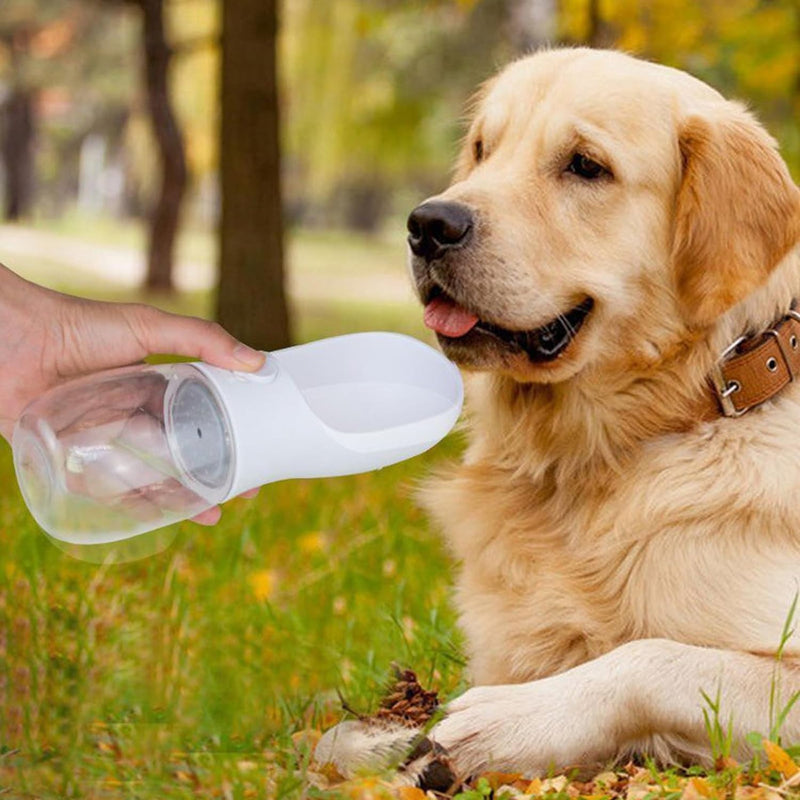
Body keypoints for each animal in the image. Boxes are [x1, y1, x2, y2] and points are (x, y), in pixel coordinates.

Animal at [318, 47, 800, 780]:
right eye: (483, 149)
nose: (428, 224)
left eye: (585, 165)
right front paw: (381, 742)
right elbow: (346, 734)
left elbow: (652, 656)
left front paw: (505, 719)